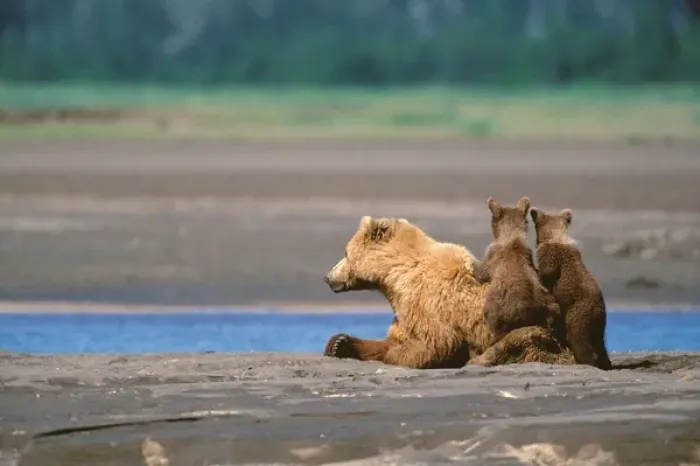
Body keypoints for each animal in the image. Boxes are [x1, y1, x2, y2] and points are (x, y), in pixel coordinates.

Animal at [322, 215, 573, 369]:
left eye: (345, 253)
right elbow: (393, 336)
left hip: (539, 331)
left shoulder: (427, 300)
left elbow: (436, 342)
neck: (395, 275)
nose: (328, 277)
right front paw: (339, 343)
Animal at [472, 197, 564, 347]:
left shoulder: (492, 256)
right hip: (548, 300)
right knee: (554, 309)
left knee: (493, 318)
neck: (511, 235)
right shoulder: (529, 257)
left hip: (498, 304)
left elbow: (480, 274)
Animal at [529, 206, 612, 371]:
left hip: (578, 312)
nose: (532, 211)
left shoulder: (551, 257)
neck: (555, 237)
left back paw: (586, 360)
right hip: (598, 323)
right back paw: (605, 363)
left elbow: (545, 274)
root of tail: (599, 309)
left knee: (578, 337)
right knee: (599, 343)